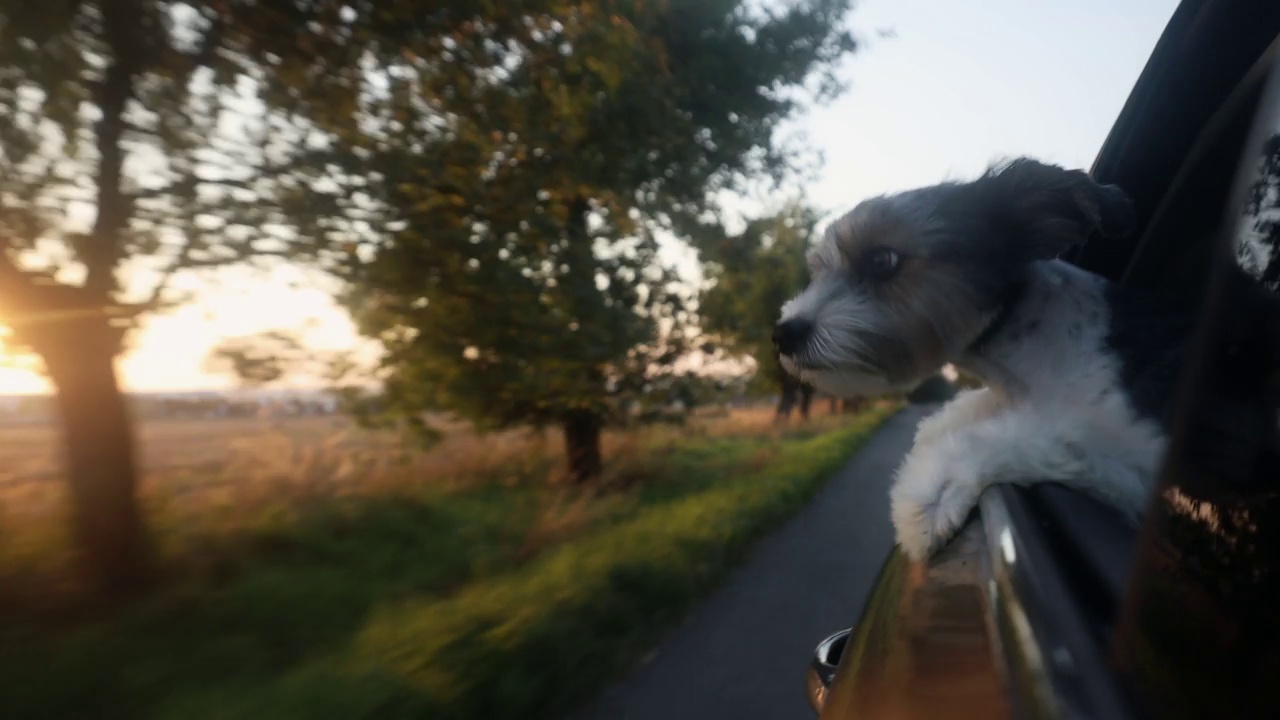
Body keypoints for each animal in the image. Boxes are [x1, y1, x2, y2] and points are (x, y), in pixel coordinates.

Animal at [773, 159, 1192, 558]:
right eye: (817, 271)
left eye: (882, 260)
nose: (783, 334)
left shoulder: (1135, 457)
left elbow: (1030, 440)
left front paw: (928, 501)